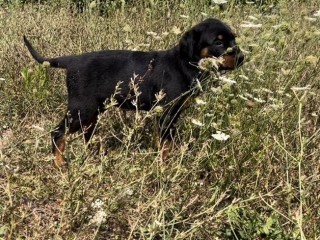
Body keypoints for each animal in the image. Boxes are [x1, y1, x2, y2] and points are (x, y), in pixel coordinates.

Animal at [23, 18, 245, 167]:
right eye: (218, 42)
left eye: (234, 39)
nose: (242, 57)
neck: (184, 63)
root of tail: (71, 61)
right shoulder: (166, 113)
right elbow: (166, 144)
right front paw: (164, 166)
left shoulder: (172, 114)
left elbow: (168, 140)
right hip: (82, 109)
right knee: (57, 132)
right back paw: (59, 164)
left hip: (93, 110)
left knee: (87, 135)